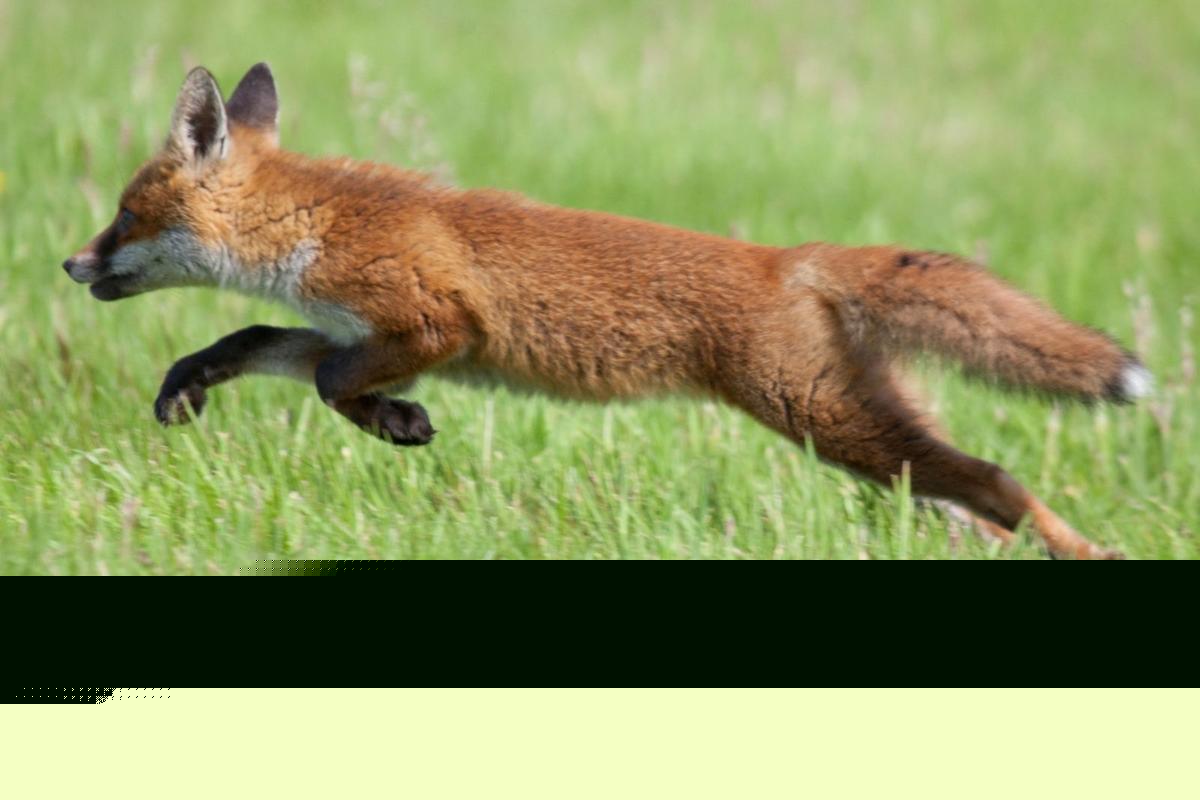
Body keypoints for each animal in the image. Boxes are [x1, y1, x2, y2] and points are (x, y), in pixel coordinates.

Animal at [63, 63, 1151, 559]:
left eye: (125, 213)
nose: (72, 262)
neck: (316, 222)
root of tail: (785, 258)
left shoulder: (434, 324)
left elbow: (334, 384)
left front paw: (399, 423)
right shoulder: (352, 327)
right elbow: (253, 338)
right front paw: (188, 384)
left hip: (824, 420)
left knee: (997, 479)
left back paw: (1089, 555)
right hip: (873, 438)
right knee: (968, 501)